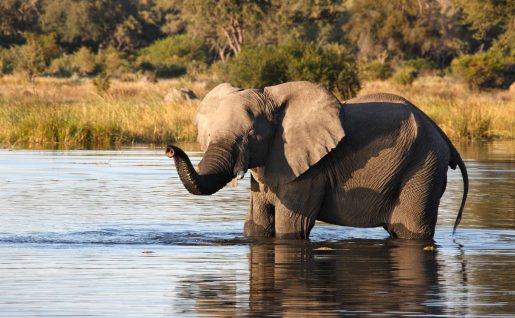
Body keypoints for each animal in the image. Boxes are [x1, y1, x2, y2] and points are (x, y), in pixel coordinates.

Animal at [167, 80, 470, 240]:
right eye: (209, 134)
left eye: (251, 136)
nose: (170, 149)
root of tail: (442, 134)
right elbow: (256, 225)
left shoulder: (310, 172)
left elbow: (291, 228)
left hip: (424, 167)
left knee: (412, 231)